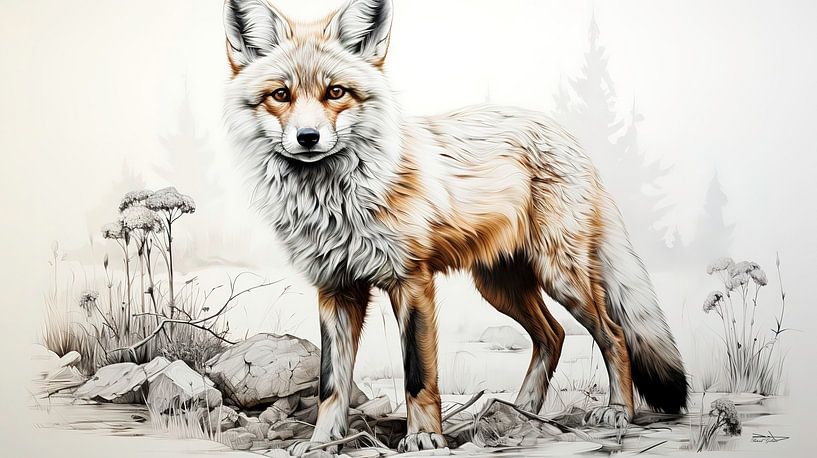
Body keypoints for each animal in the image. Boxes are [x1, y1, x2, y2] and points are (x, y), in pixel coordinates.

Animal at [222, 0, 688, 454]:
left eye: (335, 92)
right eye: (281, 95)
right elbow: (331, 383)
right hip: (500, 286)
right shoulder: (336, 289)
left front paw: (424, 438)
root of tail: (568, 137)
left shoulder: (411, 281)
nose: (308, 137)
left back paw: (617, 410)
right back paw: (523, 413)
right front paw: (324, 442)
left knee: (614, 334)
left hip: (560, 278)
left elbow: (418, 375)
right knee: (553, 335)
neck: (336, 203)